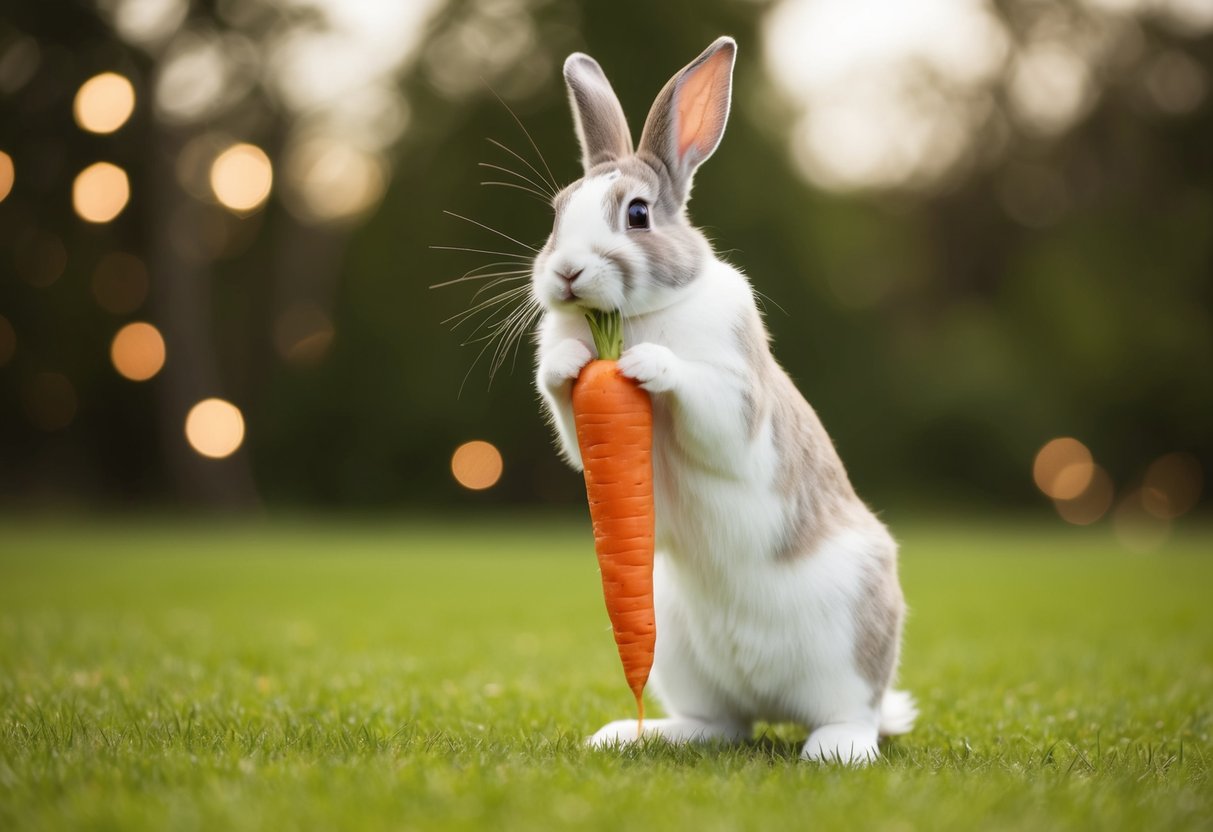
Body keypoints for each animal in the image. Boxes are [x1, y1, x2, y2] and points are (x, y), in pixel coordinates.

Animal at [531, 36, 916, 764]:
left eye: (637, 214)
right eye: (556, 213)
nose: (565, 273)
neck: (638, 319)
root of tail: (775, 706)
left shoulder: (737, 401)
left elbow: (707, 403)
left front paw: (647, 364)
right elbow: (570, 416)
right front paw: (566, 362)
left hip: (854, 635)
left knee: (849, 711)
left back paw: (835, 750)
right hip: (678, 648)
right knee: (721, 724)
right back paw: (629, 735)